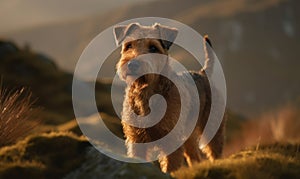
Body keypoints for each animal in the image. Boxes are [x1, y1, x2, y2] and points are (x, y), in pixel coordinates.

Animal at [113, 23, 225, 173]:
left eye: (153, 47)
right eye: (129, 45)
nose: (132, 65)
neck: (146, 94)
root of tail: (203, 73)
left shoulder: (171, 140)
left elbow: (171, 166)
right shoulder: (136, 139)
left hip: (212, 126)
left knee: (214, 151)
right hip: (188, 135)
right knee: (194, 157)